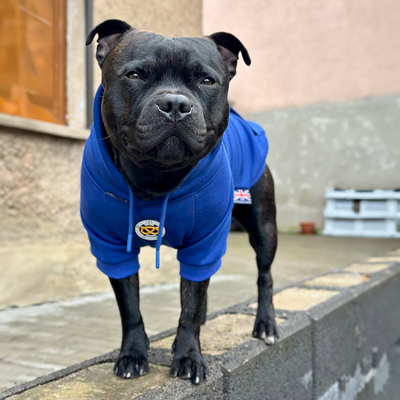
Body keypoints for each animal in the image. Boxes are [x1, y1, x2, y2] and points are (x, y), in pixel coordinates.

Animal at [84, 19, 278, 384]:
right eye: (134, 75)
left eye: (207, 81)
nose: (175, 104)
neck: (156, 177)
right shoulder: (112, 249)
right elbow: (131, 307)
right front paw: (133, 354)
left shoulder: (205, 243)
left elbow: (189, 305)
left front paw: (188, 355)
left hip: (264, 229)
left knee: (264, 276)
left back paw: (266, 324)